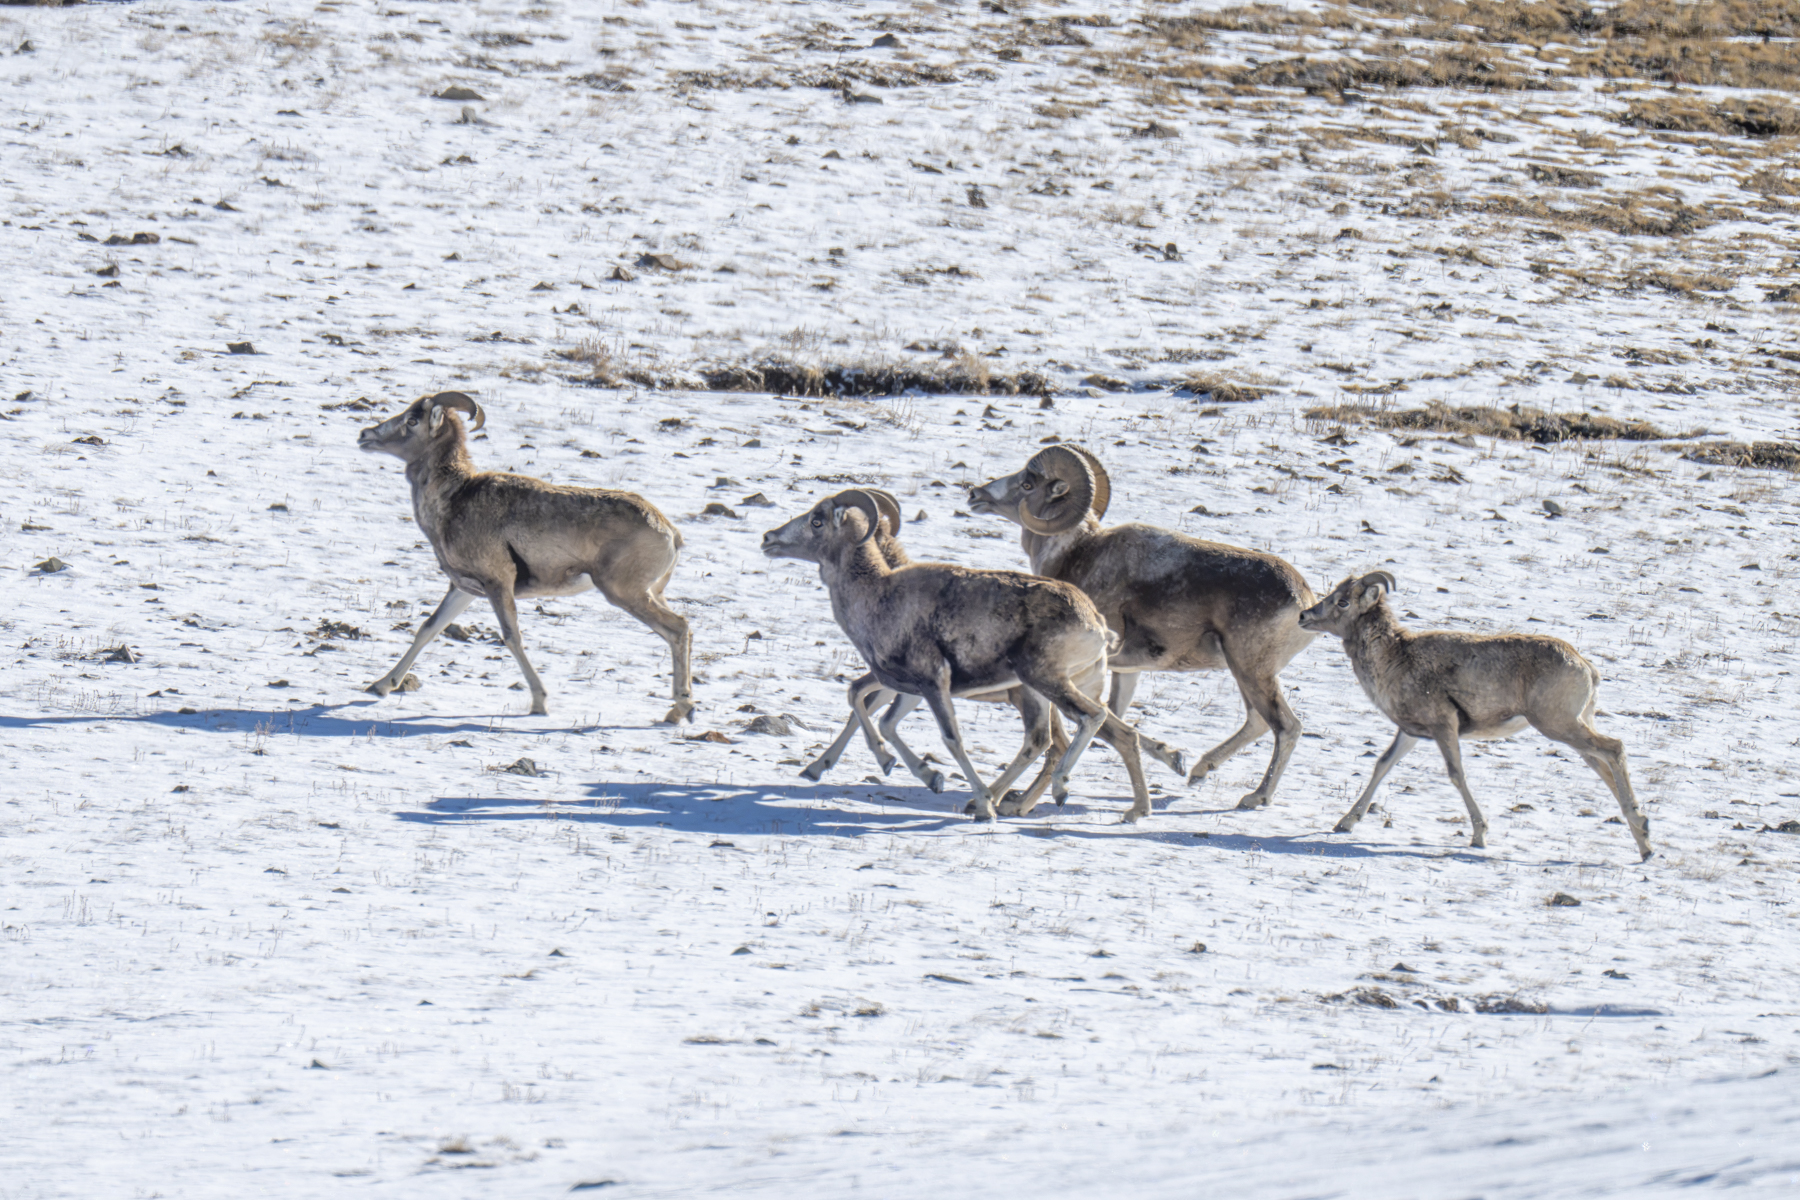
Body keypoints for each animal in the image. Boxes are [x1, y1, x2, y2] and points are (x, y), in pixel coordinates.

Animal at [356, 391, 693, 723]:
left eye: (412, 420)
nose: (365, 435)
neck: (451, 502)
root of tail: (670, 533)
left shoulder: (498, 585)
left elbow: (511, 637)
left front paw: (539, 703)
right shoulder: (464, 590)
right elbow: (428, 629)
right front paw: (380, 686)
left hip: (625, 593)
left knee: (677, 628)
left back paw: (681, 709)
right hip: (651, 593)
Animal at [763, 488, 1154, 821]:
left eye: (817, 520)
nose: (769, 539)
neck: (878, 596)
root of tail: (1097, 624)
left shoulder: (933, 682)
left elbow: (949, 738)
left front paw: (981, 804)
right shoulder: (911, 689)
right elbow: (878, 716)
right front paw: (922, 775)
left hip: (1046, 681)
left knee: (1087, 720)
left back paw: (1057, 791)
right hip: (1050, 691)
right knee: (1080, 737)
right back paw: (1132, 810)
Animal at [970, 444, 1317, 812]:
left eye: (1027, 484)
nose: (975, 495)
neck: (1077, 554)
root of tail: (1303, 600)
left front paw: (1018, 804)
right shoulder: (1125, 672)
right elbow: (1112, 719)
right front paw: (1172, 758)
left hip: (1251, 671)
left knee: (1286, 727)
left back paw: (1255, 797)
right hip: (1247, 674)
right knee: (1257, 723)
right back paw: (1198, 771)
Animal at [1299, 572, 1653, 860]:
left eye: (1343, 601)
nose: (1304, 615)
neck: (1394, 659)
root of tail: (1586, 667)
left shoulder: (1444, 727)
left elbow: (1457, 775)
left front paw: (1479, 836)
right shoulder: (1410, 734)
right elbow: (1382, 766)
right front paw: (1344, 824)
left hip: (1558, 725)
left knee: (1614, 749)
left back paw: (1643, 835)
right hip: (1573, 729)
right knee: (1604, 766)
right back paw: (1644, 841)